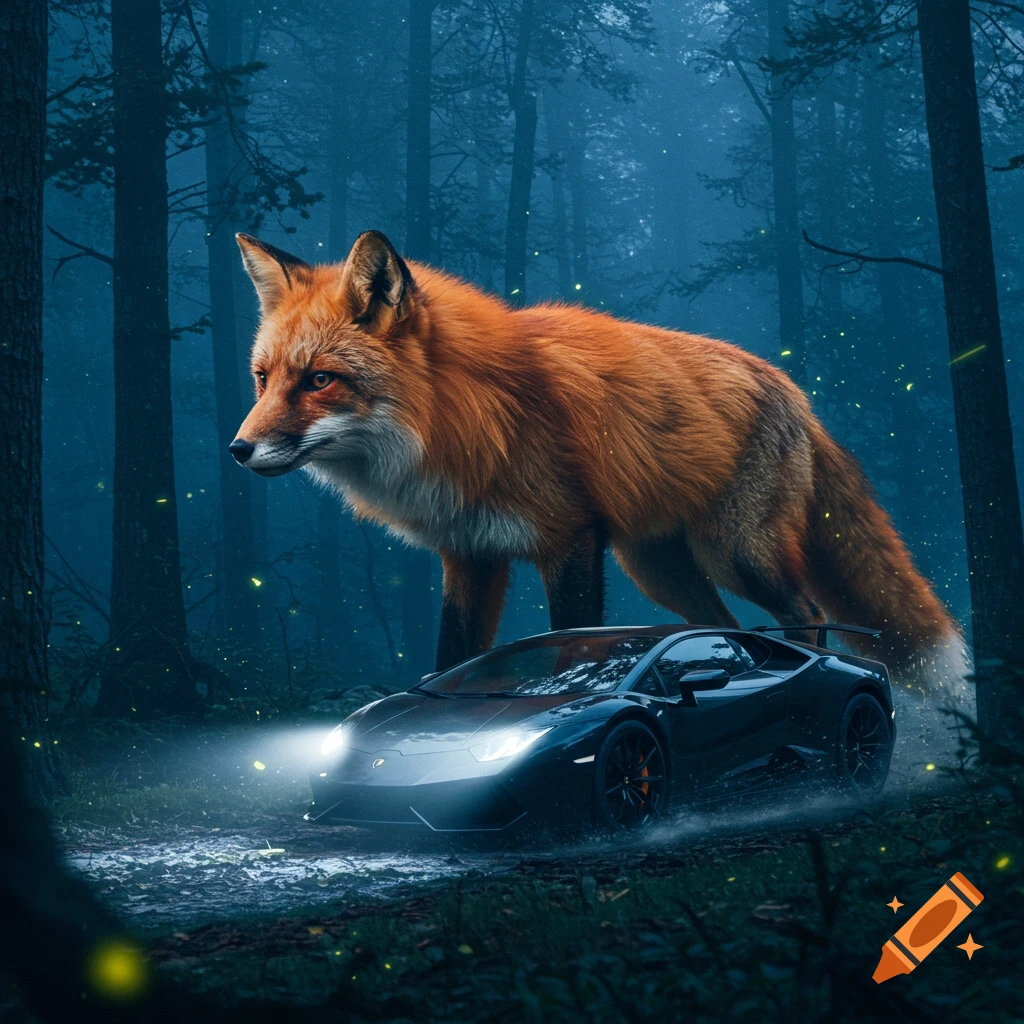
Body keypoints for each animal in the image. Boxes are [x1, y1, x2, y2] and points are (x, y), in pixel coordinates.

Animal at [230, 228, 968, 691]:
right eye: (262, 380)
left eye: (319, 380)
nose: (237, 450)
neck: (469, 418)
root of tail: (793, 388)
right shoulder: (470, 554)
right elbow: (451, 657)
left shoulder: (570, 538)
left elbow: (572, 641)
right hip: (660, 570)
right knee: (726, 631)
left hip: (737, 553)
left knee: (807, 613)